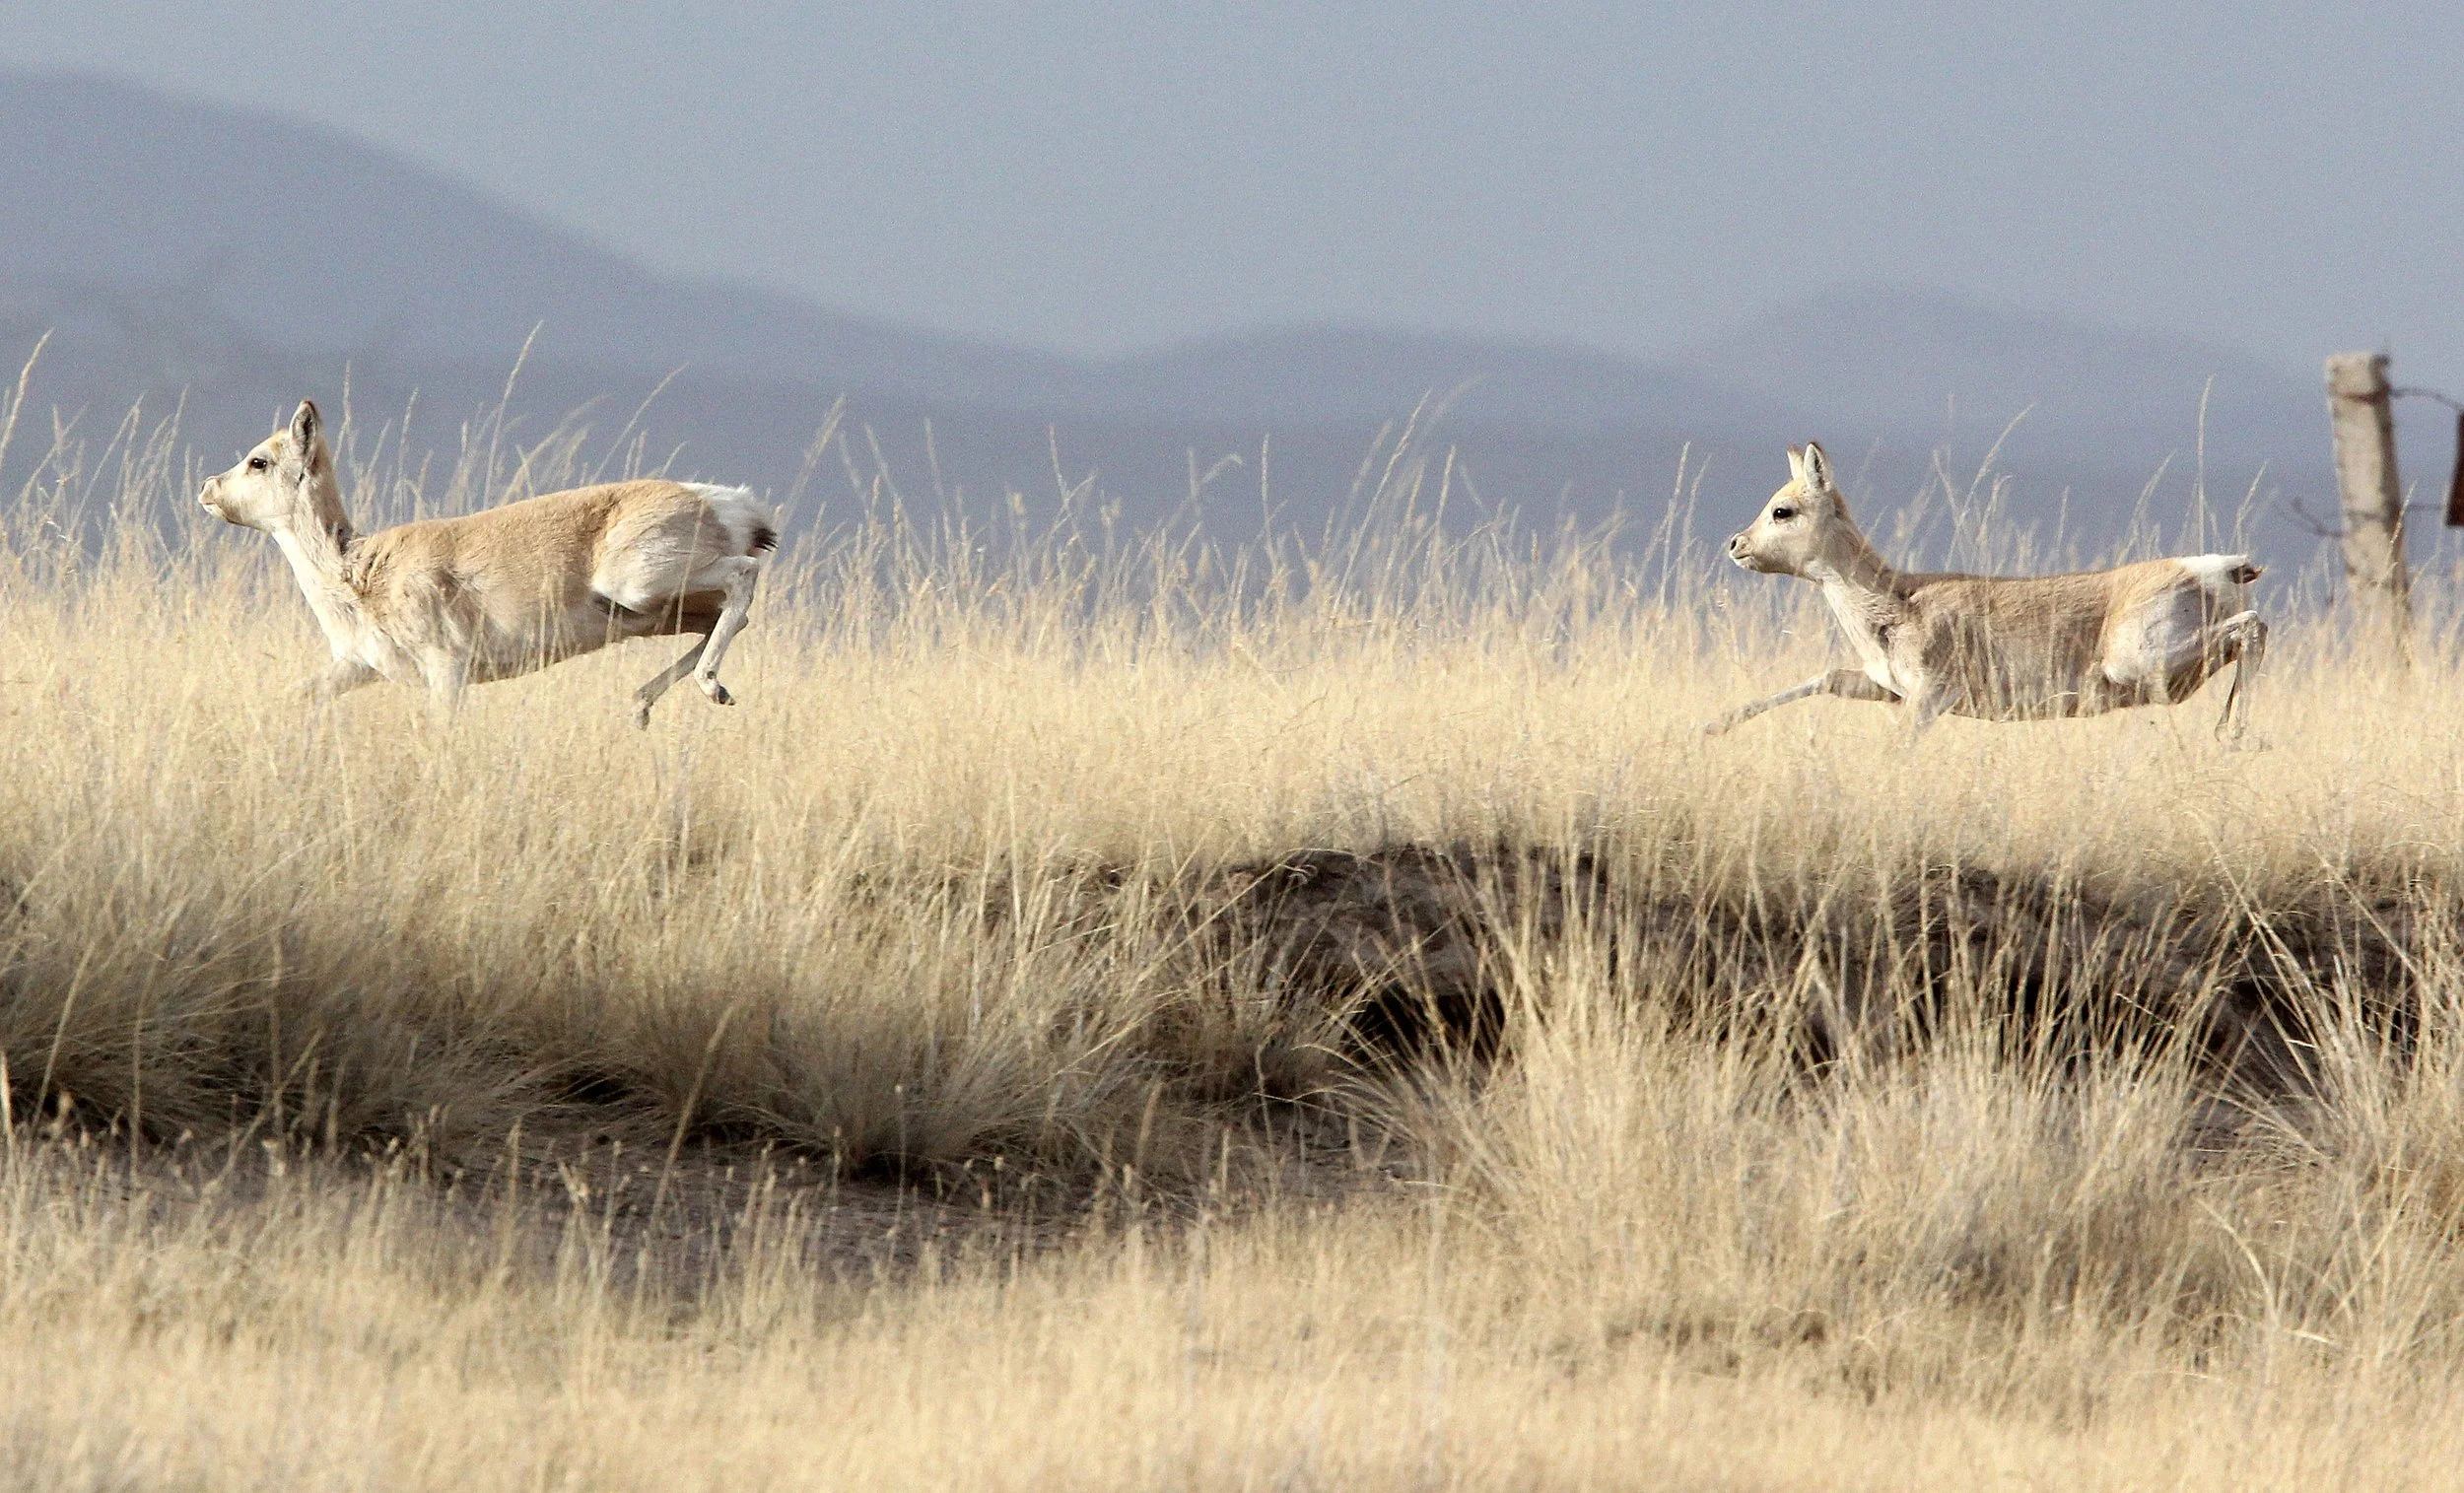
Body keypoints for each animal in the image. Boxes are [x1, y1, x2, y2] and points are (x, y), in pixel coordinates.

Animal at [200, 400, 776, 727]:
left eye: (259, 460)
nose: (206, 489)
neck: (357, 569)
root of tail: (725, 501)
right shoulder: (357, 667)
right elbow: (295, 697)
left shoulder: (448, 672)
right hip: (656, 612)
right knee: (730, 616)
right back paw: (646, 707)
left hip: (639, 587)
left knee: (744, 576)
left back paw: (708, 688)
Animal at [1708, 441, 2265, 742]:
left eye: (1782, 510)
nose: (1735, 544)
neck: (1898, 599)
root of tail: (2215, 568)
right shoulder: (1886, 688)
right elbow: (1824, 677)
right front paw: (1718, 723)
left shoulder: (1930, 697)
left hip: (2141, 664)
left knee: (2252, 627)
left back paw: (2237, 736)